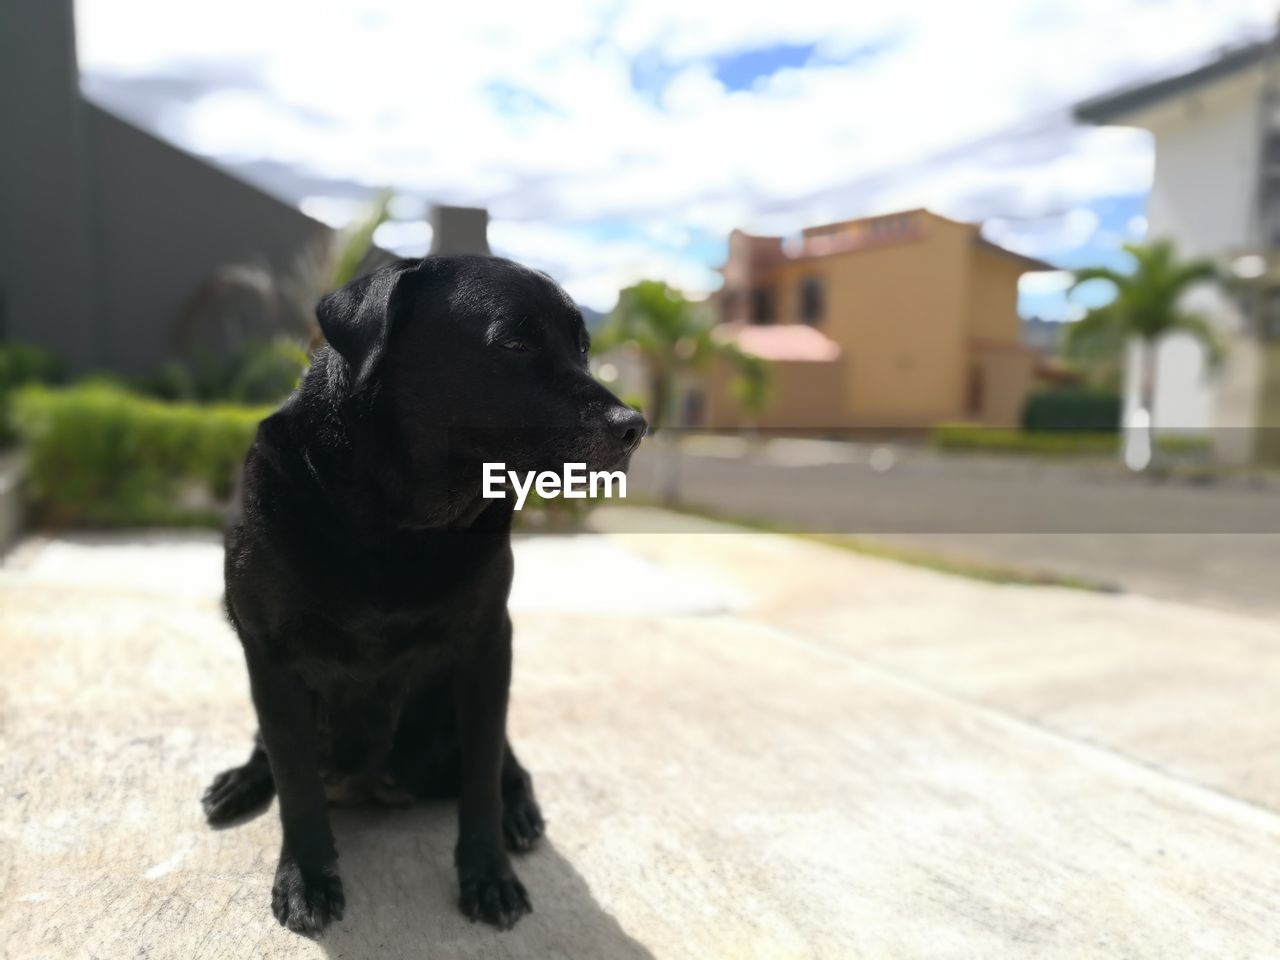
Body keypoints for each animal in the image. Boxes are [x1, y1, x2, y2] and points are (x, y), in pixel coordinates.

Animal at [200, 256, 650, 942]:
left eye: (583, 348)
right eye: (514, 344)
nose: (635, 428)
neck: (399, 523)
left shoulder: (488, 647)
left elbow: (482, 778)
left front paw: (488, 874)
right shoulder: (270, 654)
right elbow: (295, 781)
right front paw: (306, 877)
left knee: (503, 762)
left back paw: (520, 809)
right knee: (269, 749)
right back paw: (241, 781)